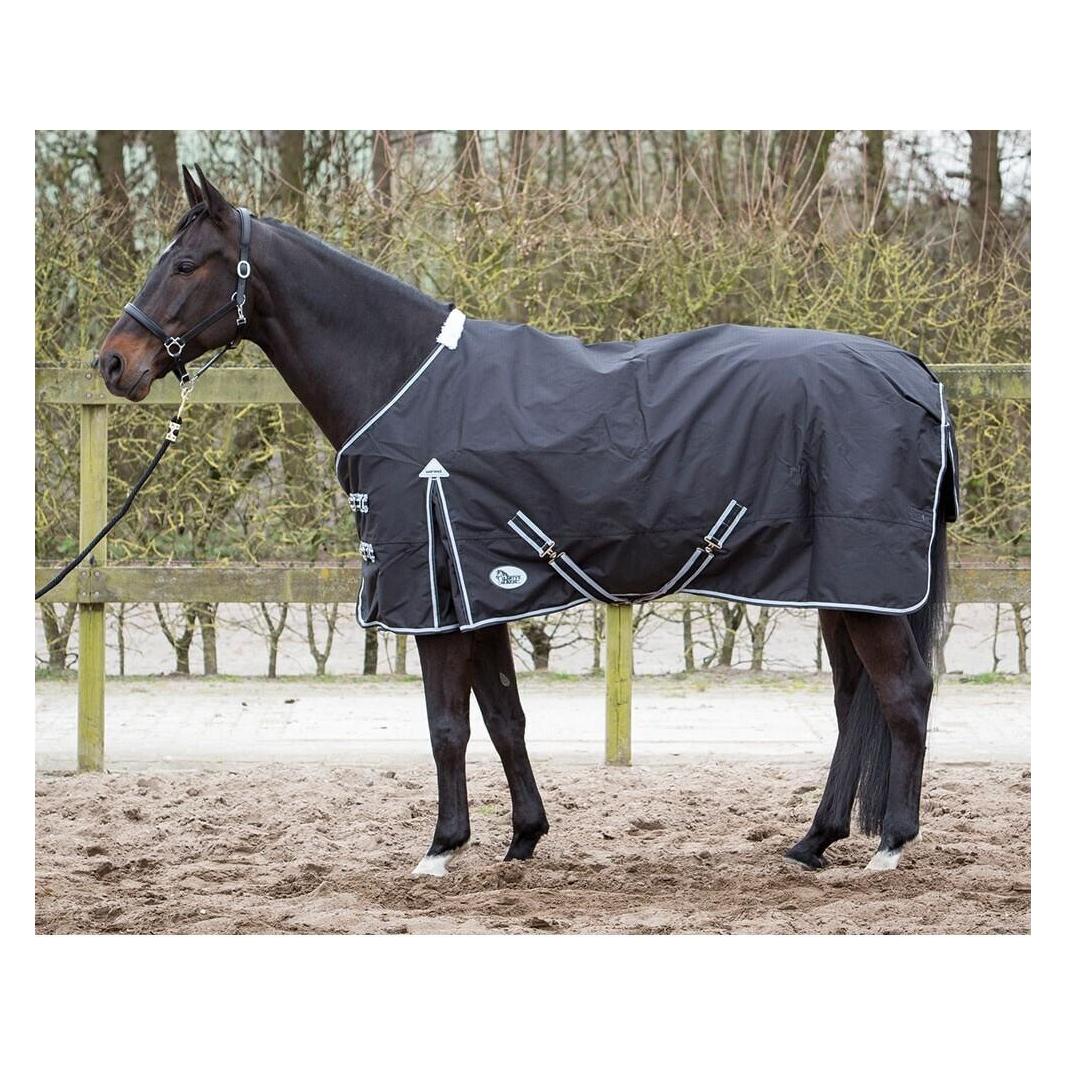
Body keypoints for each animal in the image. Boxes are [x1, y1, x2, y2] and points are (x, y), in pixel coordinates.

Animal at [95, 165, 952, 876]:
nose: (113, 362)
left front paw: (442, 848)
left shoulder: (435, 600)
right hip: (841, 588)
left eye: (184, 263)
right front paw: (522, 839)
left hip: (868, 587)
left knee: (903, 693)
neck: (405, 381)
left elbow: (447, 725)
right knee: (853, 702)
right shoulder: (478, 593)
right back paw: (814, 842)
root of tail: (913, 373)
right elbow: (504, 717)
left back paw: (891, 845)